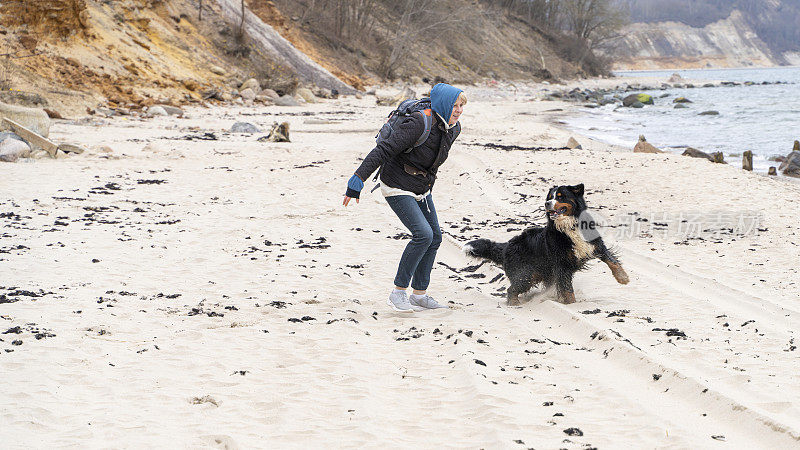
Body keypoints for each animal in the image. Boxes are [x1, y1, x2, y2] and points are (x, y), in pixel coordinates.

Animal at [466, 184, 628, 306]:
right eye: (550, 198)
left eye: (561, 196)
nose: (546, 204)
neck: (569, 227)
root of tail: (507, 245)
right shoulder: (562, 265)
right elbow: (567, 290)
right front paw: (572, 305)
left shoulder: (596, 245)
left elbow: (612, 260)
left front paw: (623, 278)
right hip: (525, 275)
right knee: (511, 290)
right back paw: (514, 304)